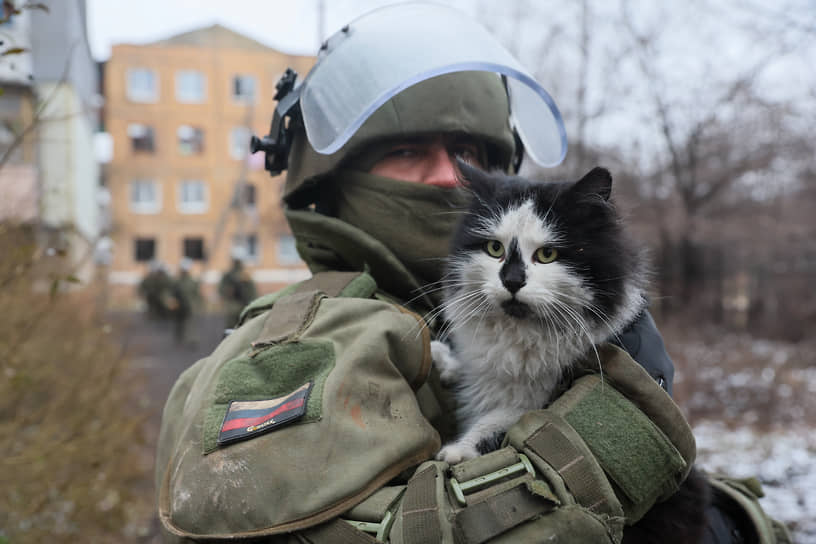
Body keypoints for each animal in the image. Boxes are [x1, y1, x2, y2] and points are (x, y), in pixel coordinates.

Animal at [434, 163, 652, 464]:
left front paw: (456, 451)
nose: (512, 281)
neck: (520, 338)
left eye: (547, 254)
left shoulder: (539, 400)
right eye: (494, 249)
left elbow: (497, 424)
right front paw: (441, 358)